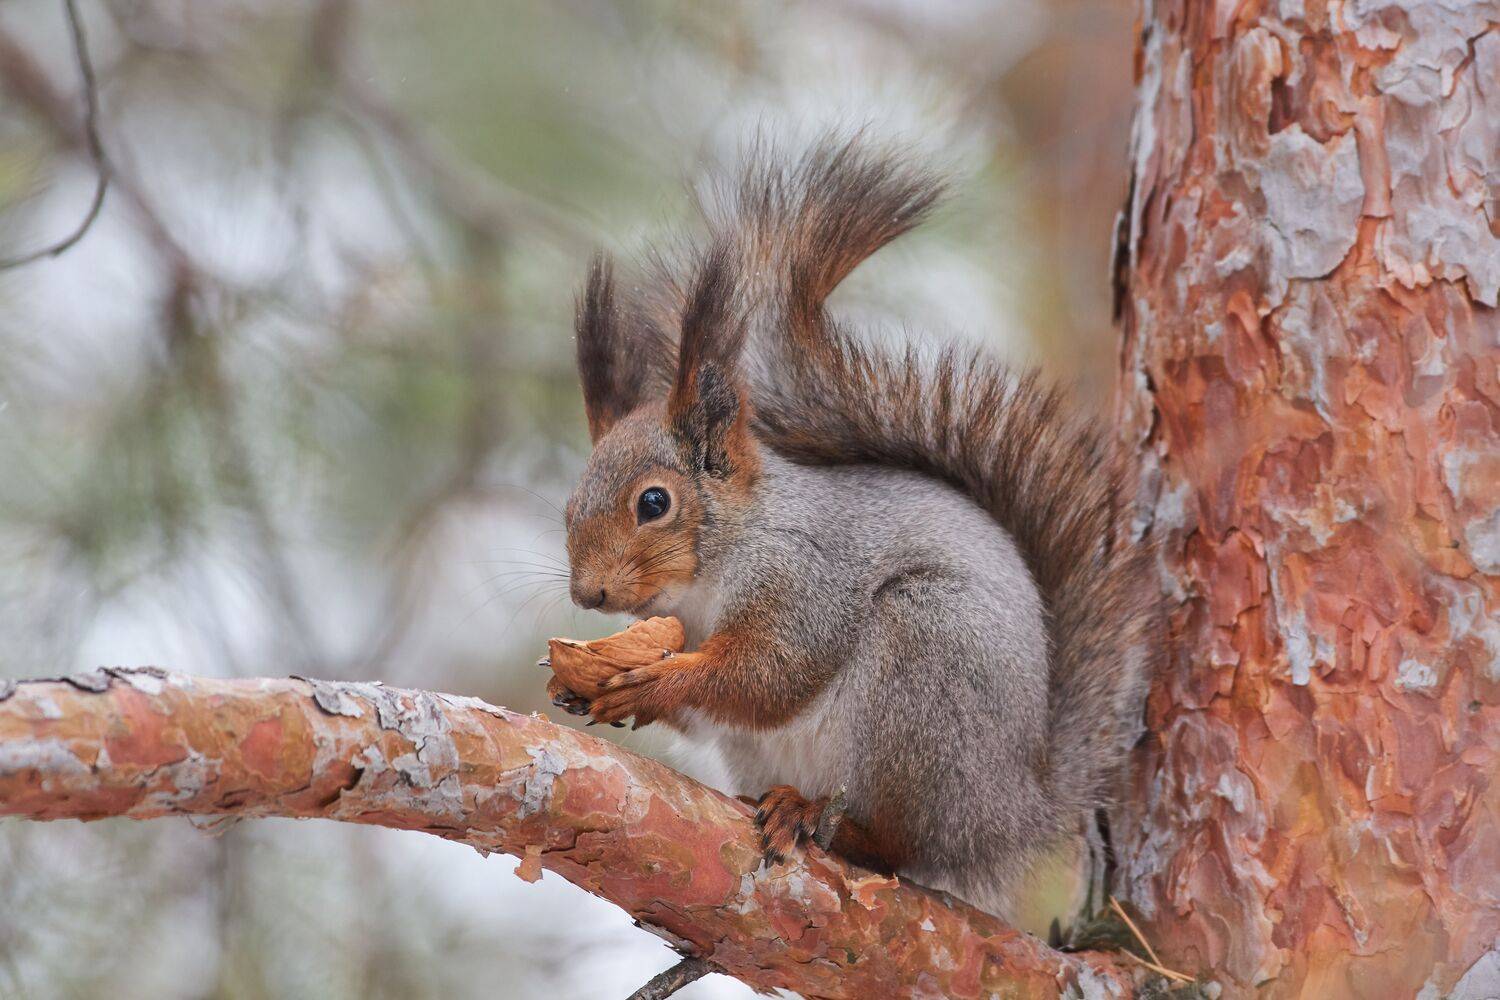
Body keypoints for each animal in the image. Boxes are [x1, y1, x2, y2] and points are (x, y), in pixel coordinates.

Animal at [552, 136, 1157, 918]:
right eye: (569, 506)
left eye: (653, 503)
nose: (588, 594)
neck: (711, 572)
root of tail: (1014, 811)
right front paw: (583, 680)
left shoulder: (807, 574)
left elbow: (772, 672)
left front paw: (655, 681)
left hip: (926, 672)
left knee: (900, 845)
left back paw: (820, 820)